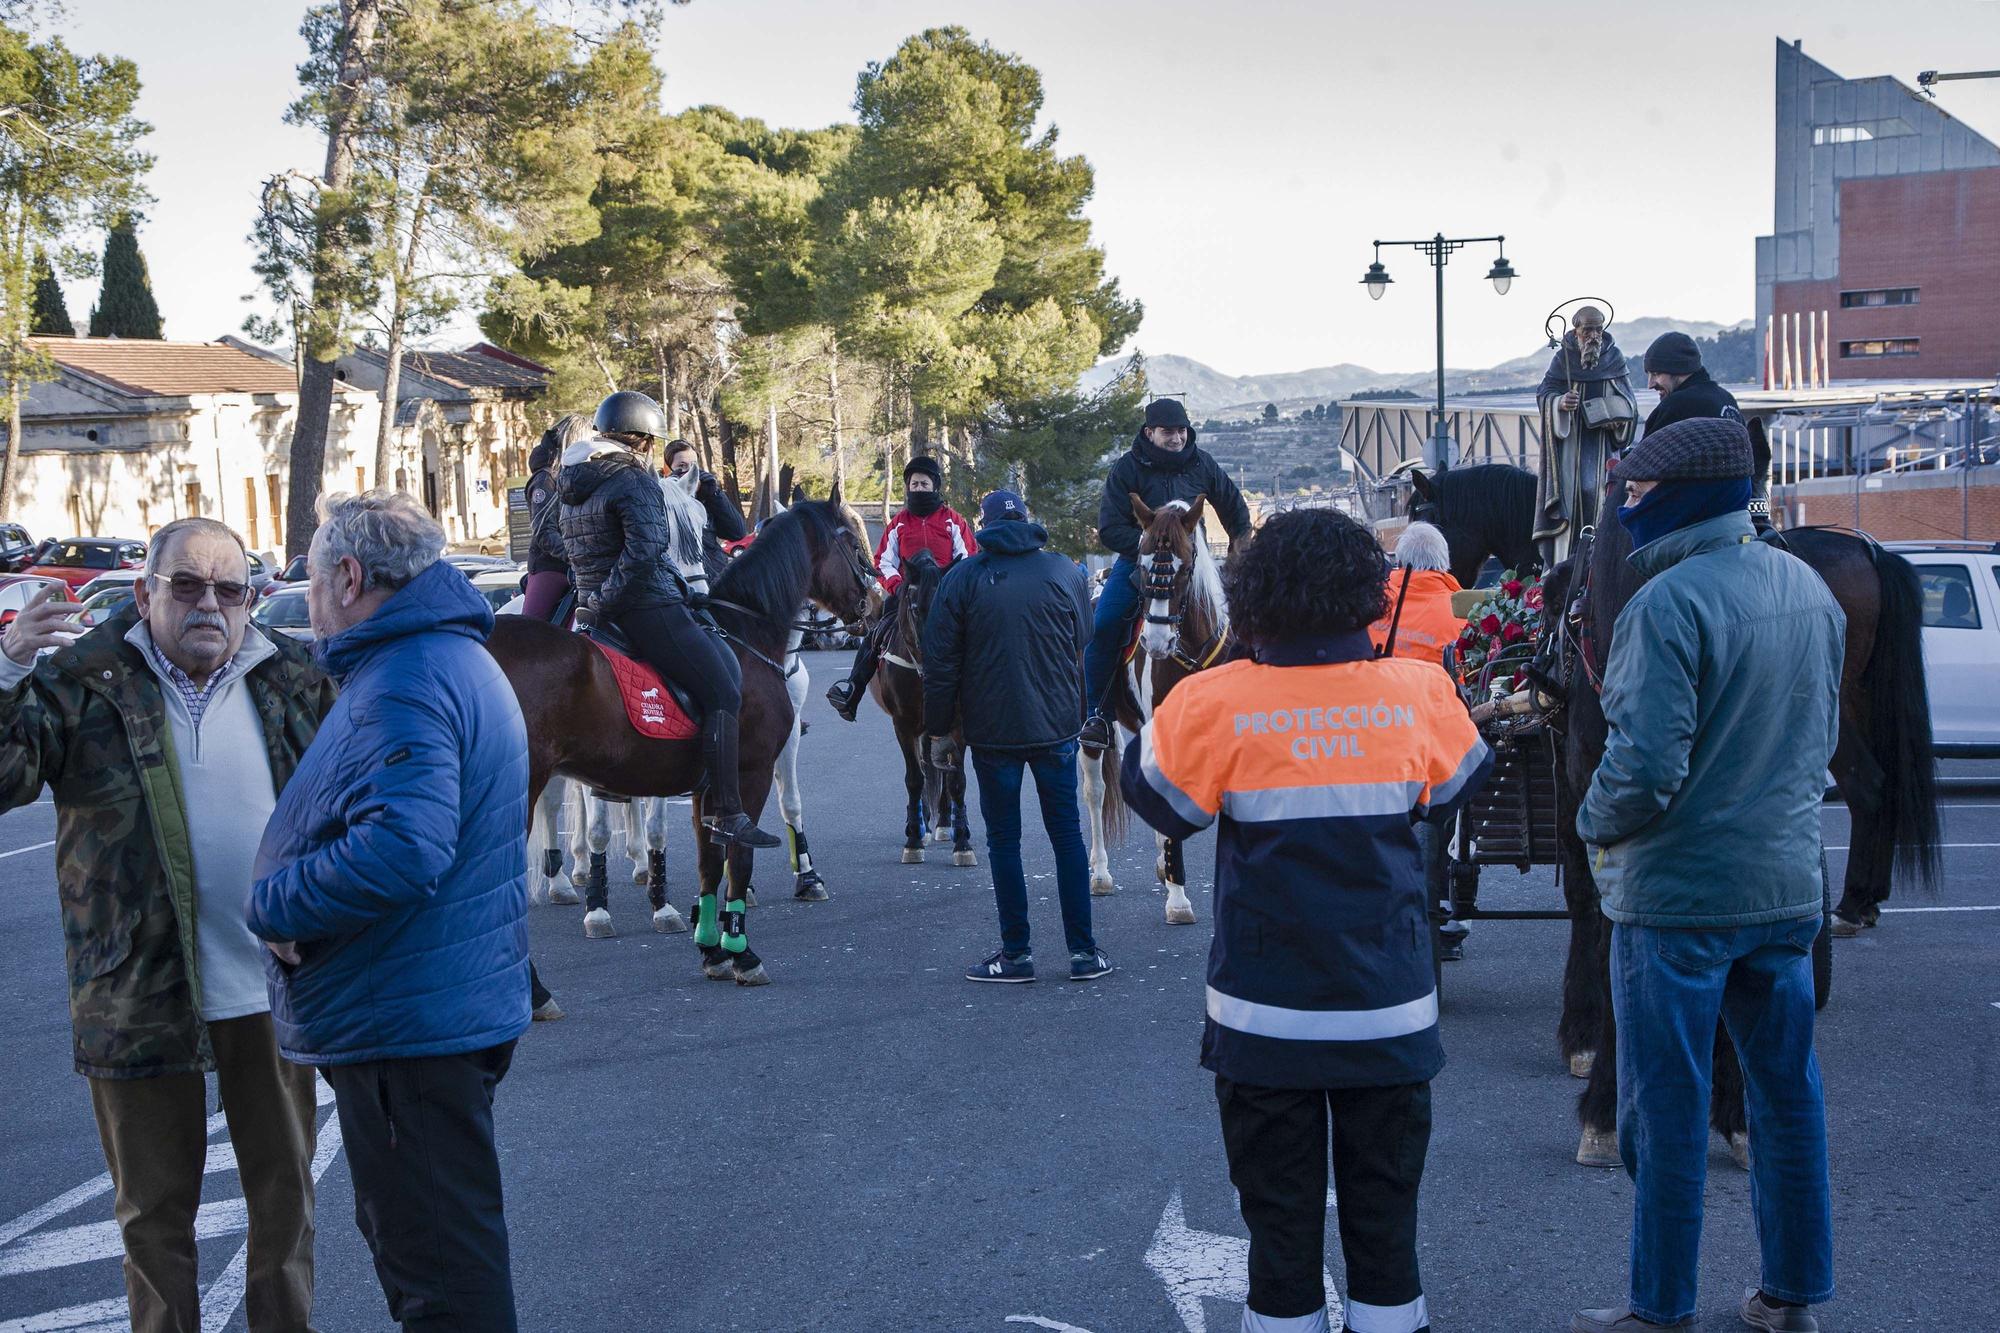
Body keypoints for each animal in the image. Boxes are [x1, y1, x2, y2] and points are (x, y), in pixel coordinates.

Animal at [488, 504, 872, 980]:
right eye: (851, 542)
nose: (871, 600)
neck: (742, 634)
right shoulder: (750, 774)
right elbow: (739, 857)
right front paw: (742, 951)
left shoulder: (709, 787)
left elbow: (710, 861)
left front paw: (712, 948)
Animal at [868, 544, 976, 868]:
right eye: (916, 609)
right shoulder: (903, 724)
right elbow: (915, 779)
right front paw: (914, 839)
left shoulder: (957, 725)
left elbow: (956, 780)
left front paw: (962, 842)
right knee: (925, 768)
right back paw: (924, 825)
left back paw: (942, 823)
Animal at [1080, 496, 1232, 924]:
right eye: (1142, 564)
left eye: (1186, 565)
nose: (1157, 640)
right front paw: (1178, 901)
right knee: (1095, 791)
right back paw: (1100, 873)